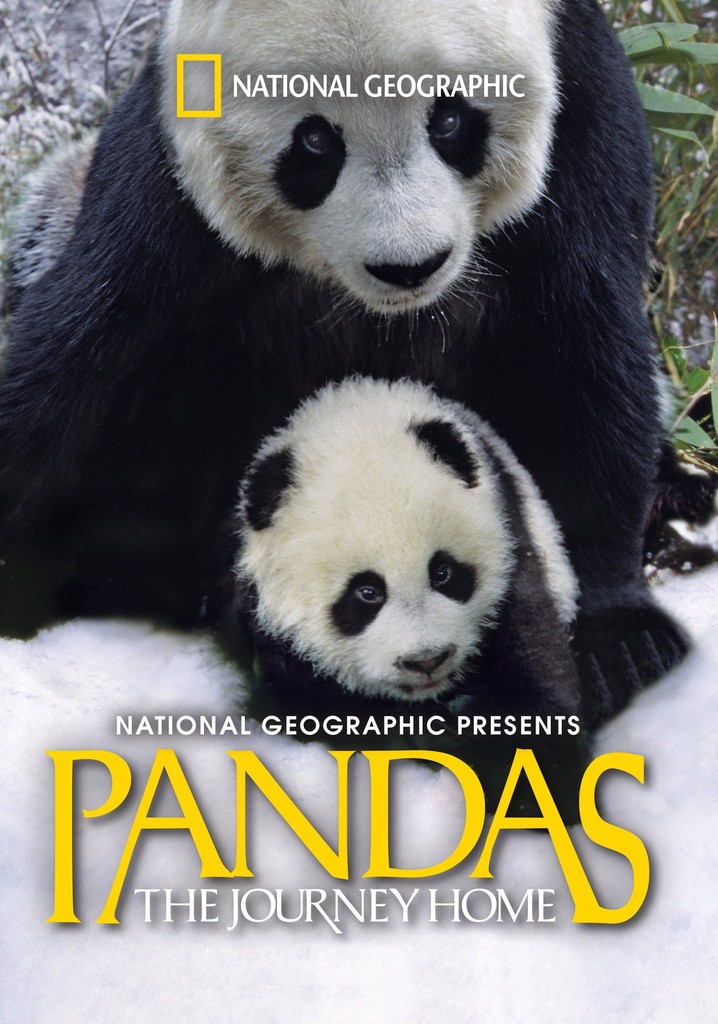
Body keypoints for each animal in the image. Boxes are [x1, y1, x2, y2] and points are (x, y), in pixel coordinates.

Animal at [0, 0, 693, 722]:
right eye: (314, 141)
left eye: (450, 119)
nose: (409, 266)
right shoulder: (171, 173)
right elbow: (84, 351)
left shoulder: (582, 119)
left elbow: (582, 353)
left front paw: (621, 639)